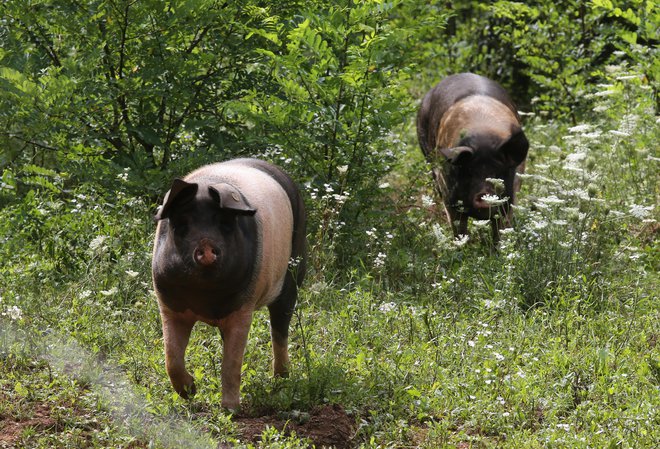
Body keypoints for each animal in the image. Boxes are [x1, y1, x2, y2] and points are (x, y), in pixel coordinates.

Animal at [151, 158, 306, 410]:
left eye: (225, 223)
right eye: (181, 224)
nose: (205, 246)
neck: (204, 298)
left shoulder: (243, 308)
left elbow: (231, 364)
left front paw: (230, 410)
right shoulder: (169, 305)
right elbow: (171, 358)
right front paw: (190, 392)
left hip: (295, 270)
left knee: (280, 328)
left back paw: (281, 380)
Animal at [418, 73, 532, 242]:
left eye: (498, 171)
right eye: (469, 171)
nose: (484, 195)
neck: (483, 137)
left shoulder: (511, 196)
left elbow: (500, 230)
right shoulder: (449, 194)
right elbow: (459, 228)